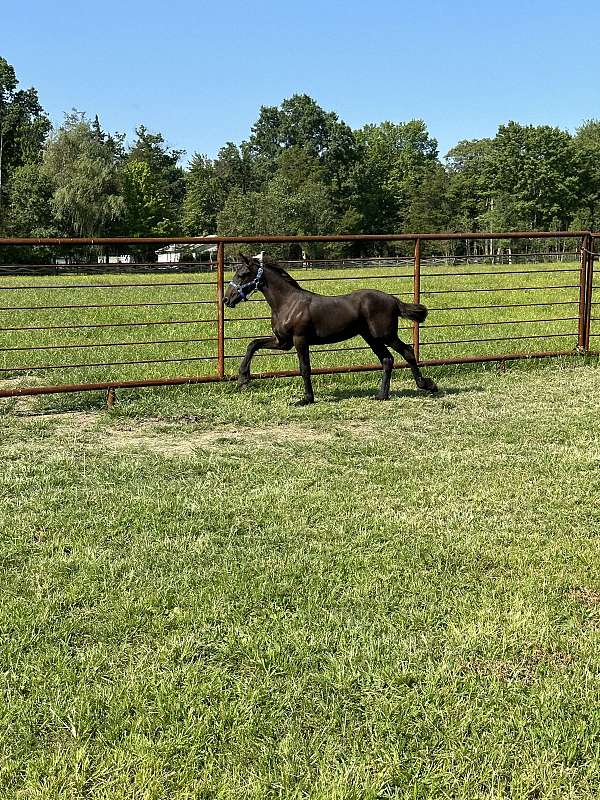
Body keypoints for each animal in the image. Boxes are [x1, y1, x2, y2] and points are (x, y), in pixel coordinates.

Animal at [223, 255, 438, 406]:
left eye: (242, 274)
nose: (226, 299)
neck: (288, 303)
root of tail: (394, 300)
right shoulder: (283, 342)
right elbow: (253, 344)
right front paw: (243, 379)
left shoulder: (300, 339)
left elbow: (305, 368)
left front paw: (306, 399)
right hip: (371, 337)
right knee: (387, 359)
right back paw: (381, 395)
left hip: (385, 335)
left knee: (407, 352)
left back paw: (427, 385)